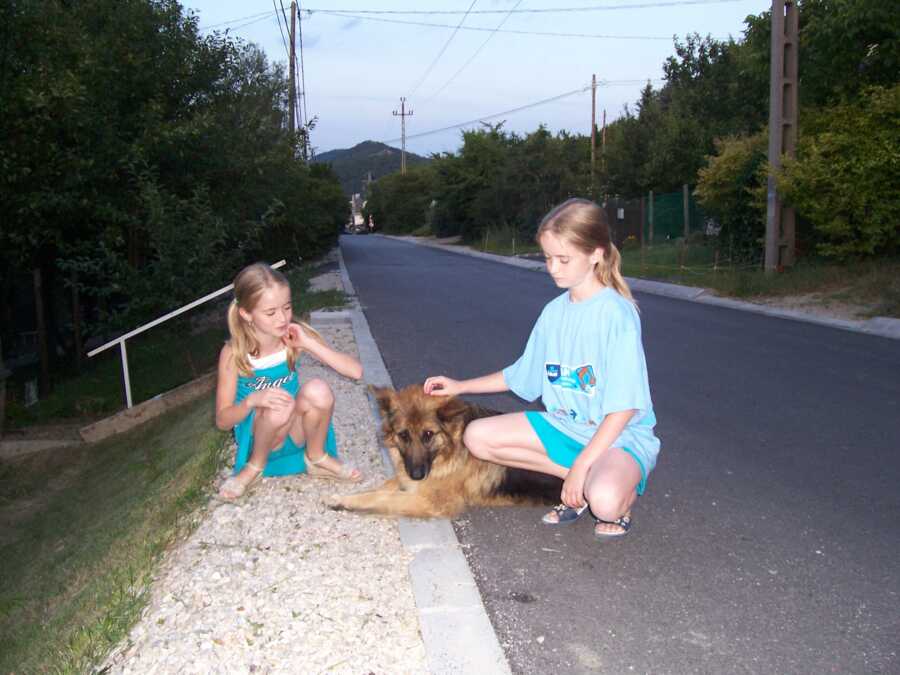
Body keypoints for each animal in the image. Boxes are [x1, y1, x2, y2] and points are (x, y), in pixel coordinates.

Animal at [324, 382, 564, 520]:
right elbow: (382, 487)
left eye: (428, 434)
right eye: (403, 435)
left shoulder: (430, 502)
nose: (417, 475)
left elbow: (383, 496)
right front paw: (345, 497)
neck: (448, 451)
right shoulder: (407, 480)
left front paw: (345, 501)